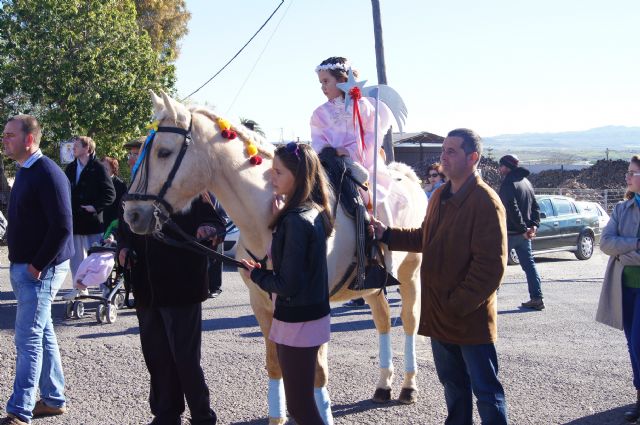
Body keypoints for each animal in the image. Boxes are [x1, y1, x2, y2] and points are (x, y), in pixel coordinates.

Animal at [123, 90, 428, 424]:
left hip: (412, 272)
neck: (273, 219)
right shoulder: (262, 303)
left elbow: (317, 371)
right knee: (383, 319)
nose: (132, 214)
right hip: (372, 285)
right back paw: (384, 384)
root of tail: (409, 175)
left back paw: (408, 387)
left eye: (164, 152)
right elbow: (275, 362)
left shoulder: (315, 304)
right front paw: (279, 416)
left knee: (409, 322)